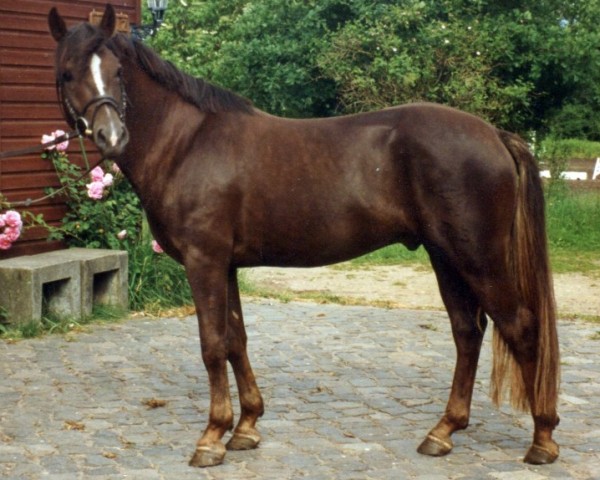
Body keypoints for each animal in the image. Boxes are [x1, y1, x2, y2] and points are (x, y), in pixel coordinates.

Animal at [49, 4, 560, 468]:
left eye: (117, 71)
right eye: (68, 72)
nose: (112, 136)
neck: (187, 143)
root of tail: (494, 135)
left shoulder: (204, 261)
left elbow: (212, 344)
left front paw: (212, 436)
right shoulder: (226, 265)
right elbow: (236, 340)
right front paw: (246, 427)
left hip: (477, 258)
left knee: (521, 327)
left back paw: (542, 440)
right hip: (445, 257)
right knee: (467, 332)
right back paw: (443, 432)